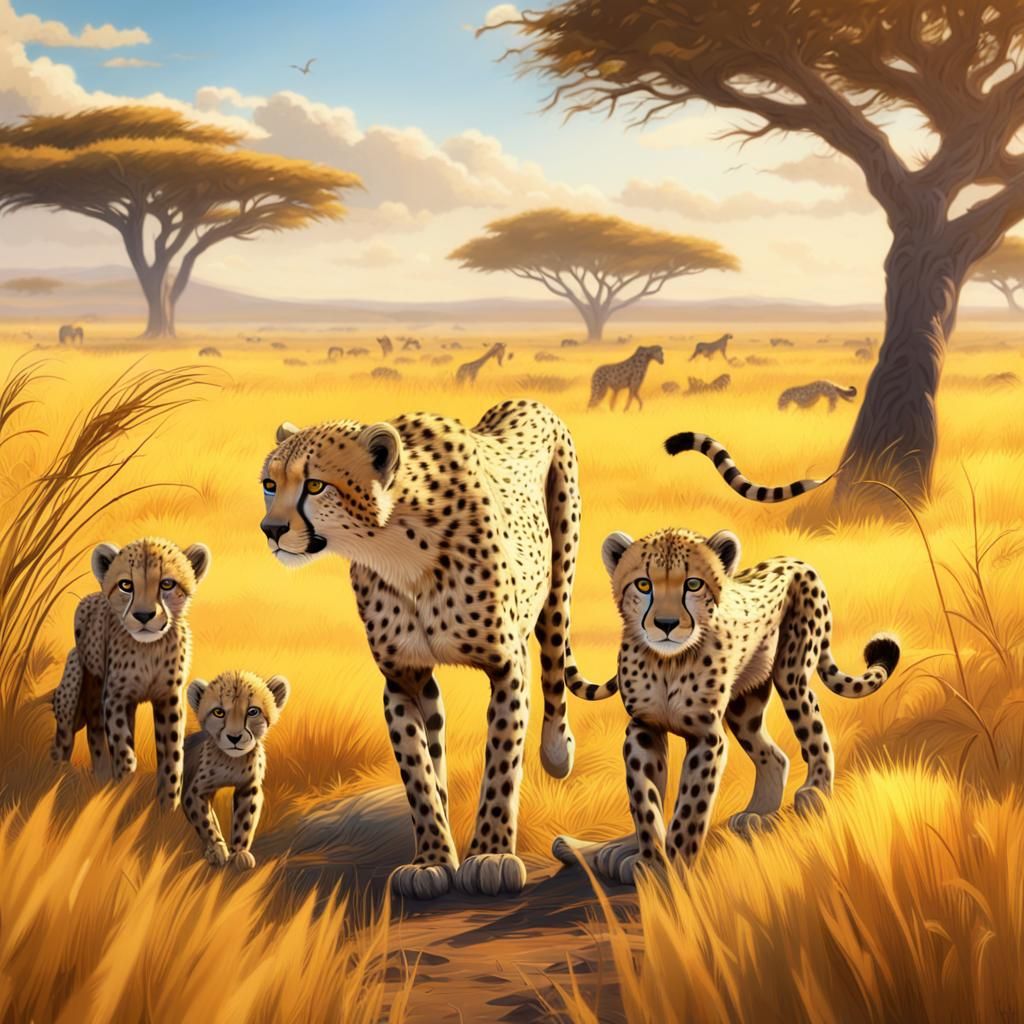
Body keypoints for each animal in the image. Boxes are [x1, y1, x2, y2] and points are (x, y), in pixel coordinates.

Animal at [50, 537, 211, 809]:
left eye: (167, 584)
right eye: (126, 585)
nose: (144, 615)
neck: (148, 648)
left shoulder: (169, 698)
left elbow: (171, 752)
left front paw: (167, 806)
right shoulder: (115, 696)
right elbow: (118, 735)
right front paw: (126, 768)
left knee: (95, 731)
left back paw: (103, 779)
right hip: (76, 684)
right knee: (66, 738)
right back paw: (61, 777)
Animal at [183, 670, 290, 870]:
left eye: (253, 711)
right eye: (218, 712)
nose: (234, 737)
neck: (232, 762)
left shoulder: (249, 787)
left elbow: (244, 821)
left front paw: (239, 853)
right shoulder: (195, 791)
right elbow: (205, 821)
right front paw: (217, 849)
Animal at [258, 399, 614, 899]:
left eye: (314, 484)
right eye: (270, 484)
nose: (270, 529)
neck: (396, 545)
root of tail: (524, 402)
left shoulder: (508, 666)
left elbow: (501, 761)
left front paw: (490, 855)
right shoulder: (402, 678)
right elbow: (418, 772)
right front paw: (431, 859)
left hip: (560, 570)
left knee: (554, 657)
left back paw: (557, 753)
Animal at [553, 526, 899, 884]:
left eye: (693, 584)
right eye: (643, 585)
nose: (665, 624)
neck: (668, 661)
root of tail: (793, 560)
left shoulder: (707, 736)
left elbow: (690, 808)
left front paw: (675, 870)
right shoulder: (644, 728)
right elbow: (646, 801)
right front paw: (650, 862)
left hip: (791, 675)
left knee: (813, 728)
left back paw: (814, 792)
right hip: (744, 707)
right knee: (774, 756)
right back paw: (756, 814)